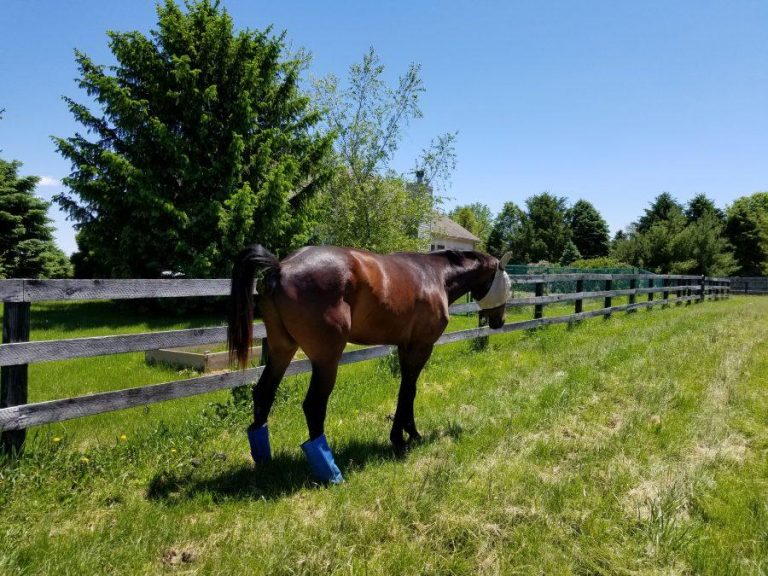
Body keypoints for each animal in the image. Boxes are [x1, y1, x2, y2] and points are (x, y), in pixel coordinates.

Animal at [228, 244, 512, 483]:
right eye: (508, 285)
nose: (500, 321)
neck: (436, 276)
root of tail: (281, 266)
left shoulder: (404, 348)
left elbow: (406, 391)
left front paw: (407, 434)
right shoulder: (421, 347)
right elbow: (408, 391)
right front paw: (402, 438)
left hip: (282, 350)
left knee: (263, 393)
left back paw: (264, 461)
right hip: (326, 360)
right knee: (314, 405)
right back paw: (331, 472)